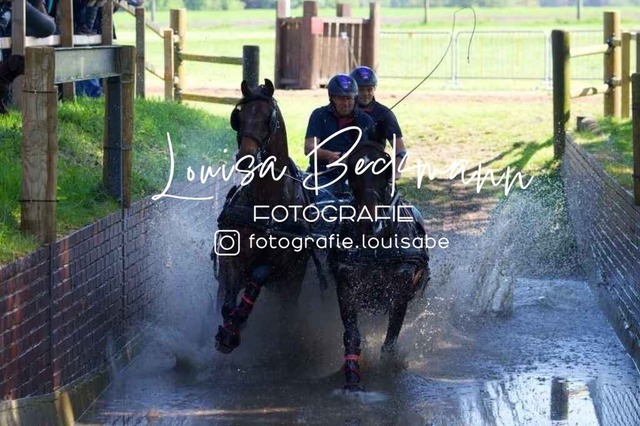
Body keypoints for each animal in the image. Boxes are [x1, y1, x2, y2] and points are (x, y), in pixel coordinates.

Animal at [212, 79, 311, 354]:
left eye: (269, 118)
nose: (245, 159)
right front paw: (229, 330)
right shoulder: (231, 259)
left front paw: (237, 322)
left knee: (285, 313)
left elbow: (260, 272)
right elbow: (227, 302)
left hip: (292, 283)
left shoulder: (283, 266)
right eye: (239, 116)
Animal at [328, 138, 430, 391]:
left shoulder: (400, 293)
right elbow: (352, 336)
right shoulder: (346, 286)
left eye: (383, 169)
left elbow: (390, 341)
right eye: (352, 170)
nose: (370, 222)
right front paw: (353, 381)